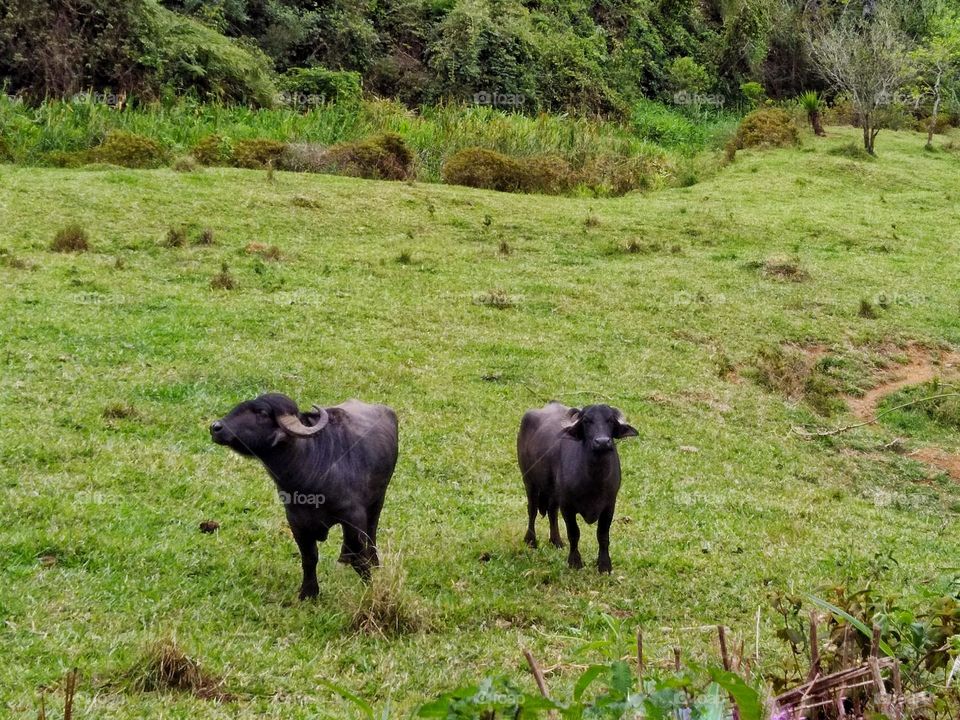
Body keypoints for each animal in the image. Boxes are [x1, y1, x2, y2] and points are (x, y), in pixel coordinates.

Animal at [210, 393, 398, 598]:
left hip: (378, 499)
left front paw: (368, 586)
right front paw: (309, 592)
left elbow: (360, 557)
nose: (215, 427)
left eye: (262, 412)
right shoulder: (296, 521)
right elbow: (309, 557)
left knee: (372, 530)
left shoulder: (353, 517)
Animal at [517, 402, 637, 573]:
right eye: (586, 421)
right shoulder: (568, 506)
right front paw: (575, 562)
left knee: (552, 512)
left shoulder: (609, 505)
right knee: (532, 510)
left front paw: (604, 565)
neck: (594, 479)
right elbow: (574, 533)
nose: (602, 442)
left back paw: (556, 541)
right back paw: (531, 540)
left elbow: (603, 535)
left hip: (553, 492)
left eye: (610, 420)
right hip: (529, 481)